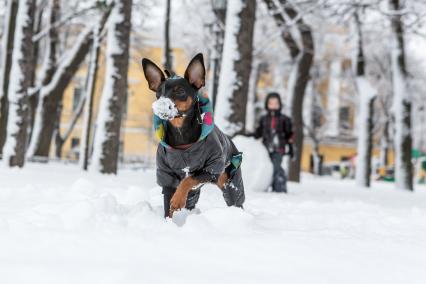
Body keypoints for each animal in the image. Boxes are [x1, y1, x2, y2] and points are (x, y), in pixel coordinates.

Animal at [141, 53, 245, 217]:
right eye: (158, 94)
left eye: (180, 91)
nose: (160, 106)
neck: (181, 136)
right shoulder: (166, 178)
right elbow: (168, 207)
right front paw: (168, 221)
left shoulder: (211, 170)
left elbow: (188, 179)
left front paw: (177, 200)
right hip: (194, 194)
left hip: (231, 183)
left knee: (236, 199)